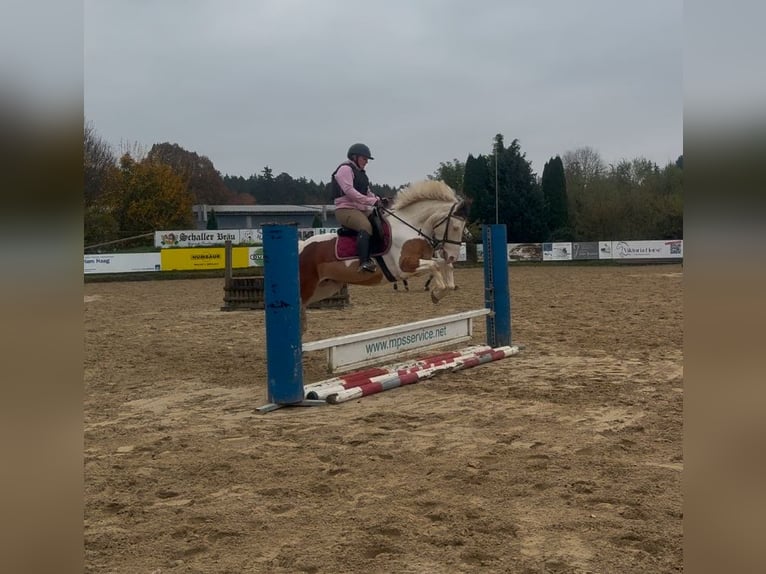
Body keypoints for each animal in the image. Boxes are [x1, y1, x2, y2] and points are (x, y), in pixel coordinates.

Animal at [298, 180, 468, 332]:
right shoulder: (404, 267)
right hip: (308, 287)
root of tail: (301, 246)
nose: (453, 256)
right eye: (455, 227)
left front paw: (439, 293)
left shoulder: (421, 260)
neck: (410, 227)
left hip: (326, 287)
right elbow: (434, 266)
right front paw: (437, 293)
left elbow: (443, 265)